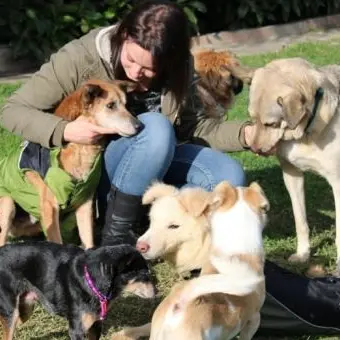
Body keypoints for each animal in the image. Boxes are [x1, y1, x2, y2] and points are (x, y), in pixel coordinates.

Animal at [0, 242, 155, 340]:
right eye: (144, 274)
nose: (156, 291)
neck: (91, 280)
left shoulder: (96, 325)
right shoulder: (77, 331)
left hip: (25, 309)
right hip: (11, 313)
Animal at [226, 56, 340, 270]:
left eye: (271, 124)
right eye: (252, 118)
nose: (255, 149)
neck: (305, 134)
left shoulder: (338, 183)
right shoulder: (291, 175)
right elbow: (300, 221)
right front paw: (303, 254)